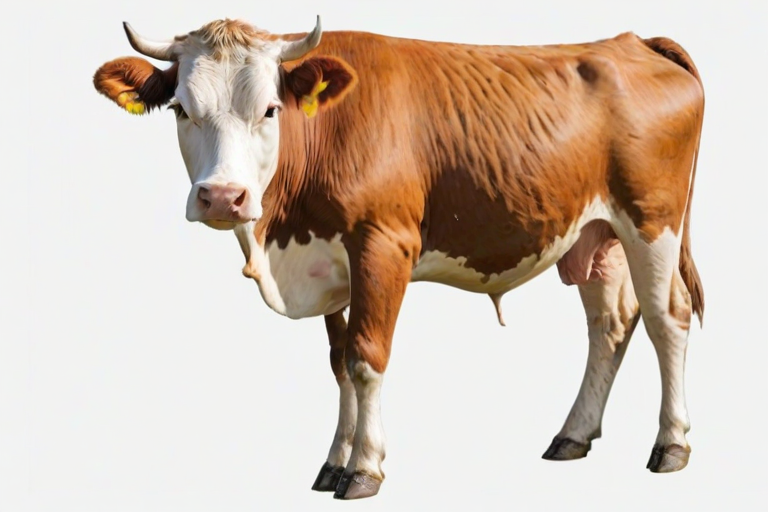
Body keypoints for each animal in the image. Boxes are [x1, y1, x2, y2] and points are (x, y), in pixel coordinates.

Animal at [93, 16, 705, 500]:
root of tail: (632, 41)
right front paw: (332, 462)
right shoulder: (329, 263)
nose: (223, 197)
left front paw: (364, 469)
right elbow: (339, 362)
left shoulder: (382, 244)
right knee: (610, 324)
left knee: (665, 318)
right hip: (596, 234)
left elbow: (367, 359)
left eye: (269, 110)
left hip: (652, 220)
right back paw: (572, 435)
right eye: (180, 109)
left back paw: (670, 443)